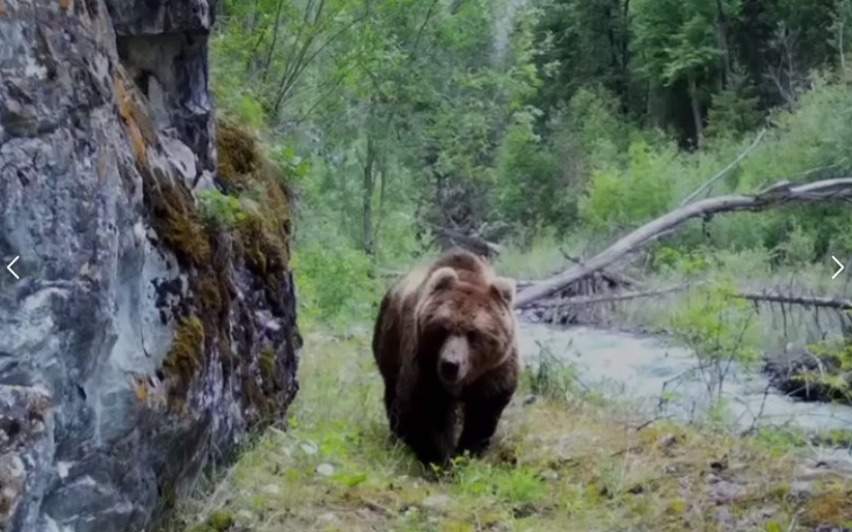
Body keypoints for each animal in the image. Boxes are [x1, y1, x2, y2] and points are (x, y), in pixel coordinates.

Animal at [372, 249, 520, 466]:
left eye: (473, 333)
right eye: (443, 328)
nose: (450, 364)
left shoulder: (494, 370)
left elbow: (484, 411)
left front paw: (468, 453)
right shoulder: (424, 363)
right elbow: (425, 408)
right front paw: (440, 458)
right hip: (389, 342)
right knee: (392, 393)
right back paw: (398, 438)